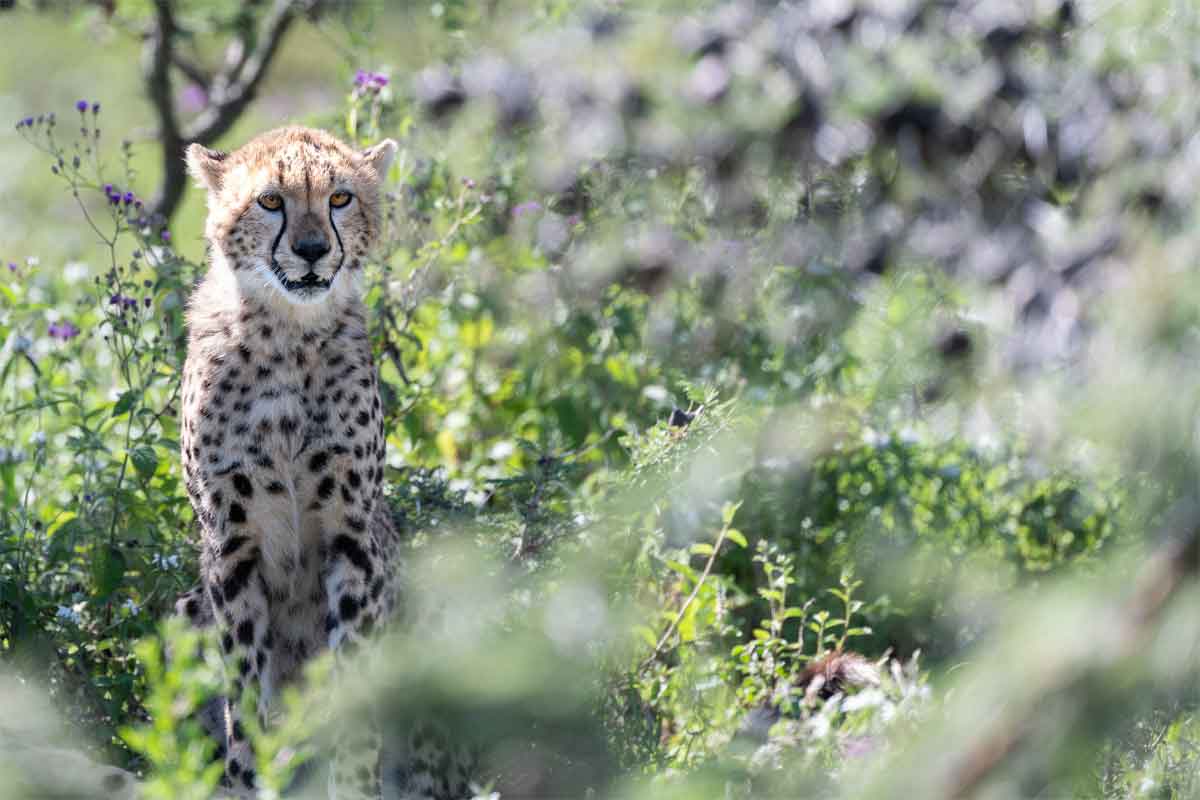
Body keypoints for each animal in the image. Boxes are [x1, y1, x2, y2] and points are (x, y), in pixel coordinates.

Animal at [177, 128, 405, 796]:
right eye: (271, 201)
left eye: (340, 198)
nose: (310, 250)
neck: (288, 336)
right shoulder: (230, 545)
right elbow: (245, 682)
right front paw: (246, 776)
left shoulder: (353, 535)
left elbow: (352, 665)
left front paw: (353, 781)